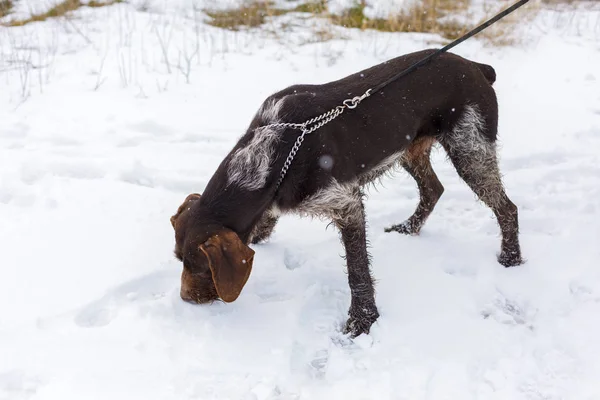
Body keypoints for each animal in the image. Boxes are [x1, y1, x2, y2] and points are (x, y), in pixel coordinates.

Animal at [169, 49, 520, 338]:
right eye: (178, 260)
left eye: (200, 267)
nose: (186, 300)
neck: (276, 149)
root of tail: (476, 67)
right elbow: (262, 226)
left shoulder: (346, 205)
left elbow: (357, 271)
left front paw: (363, 319)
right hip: (411, 148)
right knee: (434, 189)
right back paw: (409, 228)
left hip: (470, 150)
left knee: (507, 208)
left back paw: (511, 258)